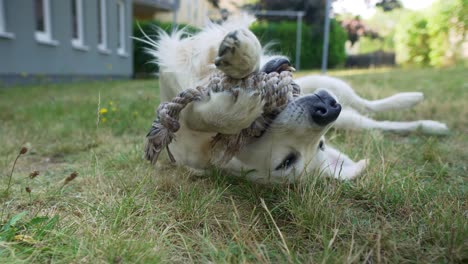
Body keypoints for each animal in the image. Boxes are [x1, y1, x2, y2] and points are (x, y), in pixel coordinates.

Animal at [141, 16, 448, 184]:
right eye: (322, 144)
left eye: (287, 162)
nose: (327, 109)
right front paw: (242, 56)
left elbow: (197, 115)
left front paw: (235, 107)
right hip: (336, 93)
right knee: (371, 113)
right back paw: (418, 107)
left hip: (343, 102)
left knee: (374, 115)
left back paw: (426, 117)